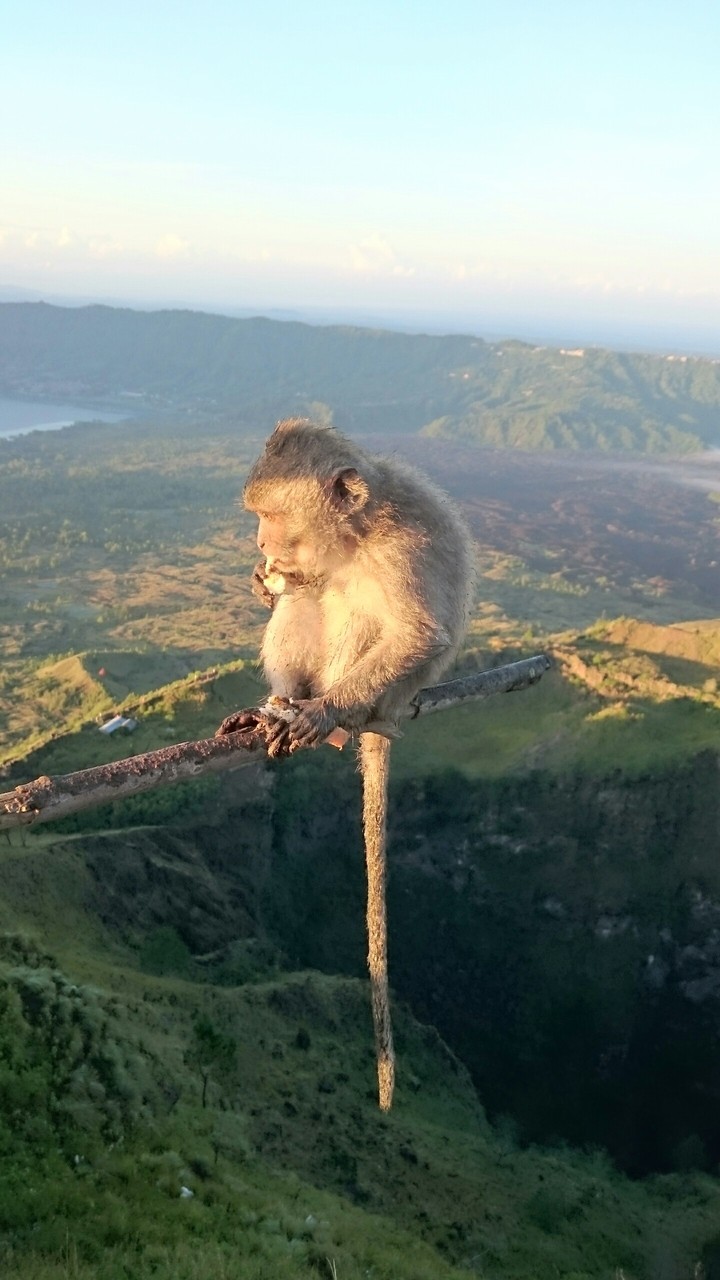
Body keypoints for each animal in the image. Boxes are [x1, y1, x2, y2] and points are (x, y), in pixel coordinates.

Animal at [216, 417, 473, 1110]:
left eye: (273, 515)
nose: (260, 542)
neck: (358, 536)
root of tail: (393, 713)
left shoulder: (401, 549)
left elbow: (416, 633)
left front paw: (321, 711)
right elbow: (298, 590)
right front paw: (265, 582)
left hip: (383, 692)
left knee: (356, 613)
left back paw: (325, 717)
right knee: (308, 601)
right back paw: (277, 705)